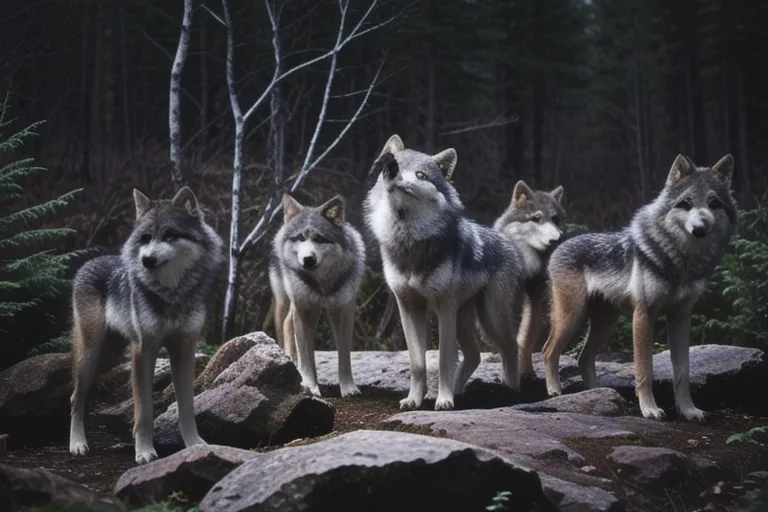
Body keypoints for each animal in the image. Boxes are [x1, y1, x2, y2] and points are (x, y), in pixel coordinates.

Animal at [69, 187, 224, 464]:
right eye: (145, 237)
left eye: (170, 235)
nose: (146, 260)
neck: (171, 293)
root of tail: (90, 262)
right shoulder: (143, 352)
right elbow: (144, 411)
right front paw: (144, 452)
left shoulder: (185, 351)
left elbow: (187, 408)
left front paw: (195, 445)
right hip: (90, 355)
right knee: (76, 397)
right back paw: (77, 445)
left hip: (108, 358)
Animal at [269, 194, 366, 398]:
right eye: (300, 238)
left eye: (319, 239)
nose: (308, 259)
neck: (322, 284)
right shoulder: (304, 310)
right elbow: (306, 355)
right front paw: (310, 386)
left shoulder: (343, 311)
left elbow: (344, 355)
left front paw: (348, 388)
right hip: (287, 304)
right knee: (286, 328)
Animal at [364, 134, 526, 411]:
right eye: (393, 164)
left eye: (420, 174)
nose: (391, 169)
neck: (410, 241)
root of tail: (506, 241)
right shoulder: (408, 307)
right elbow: (417, 363)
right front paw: (415, 399)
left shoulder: (444, 307)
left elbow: (442, 360)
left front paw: (444, 400)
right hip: (465, 318)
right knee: (474, 356)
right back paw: (462, 391)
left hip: (489, 319)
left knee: (510, 348)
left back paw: (511, 392)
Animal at [493, 180, 566, 379]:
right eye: (536, 218)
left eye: (555, 219)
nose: (557, 239)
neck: (528, 266)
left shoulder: (536, 301)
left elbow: (525, 339)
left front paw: (525, 371)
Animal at [542, 154, 737, 421]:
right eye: (686, 203)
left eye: (713, 202)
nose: (700, 228)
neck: (680, 261)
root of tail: (561, 242)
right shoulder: (644, 315)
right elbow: (645, 370)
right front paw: (650, 409)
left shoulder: (681, 317)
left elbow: (682, 372)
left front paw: (688, 410)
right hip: (572, 317)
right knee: (548, 351)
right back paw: (554, 391)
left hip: (605, 324)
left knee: (584, 358)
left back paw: (597, 394)